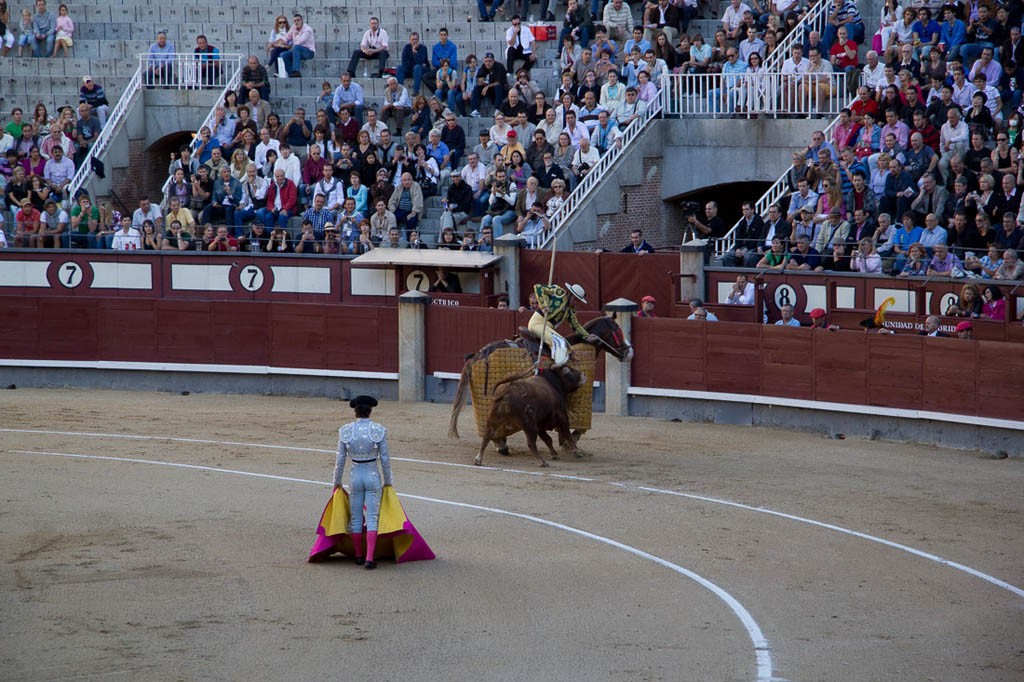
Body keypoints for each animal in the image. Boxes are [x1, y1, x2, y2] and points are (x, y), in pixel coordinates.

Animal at [448, 315, 630, 456]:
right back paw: (502, 446)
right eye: (619, 331)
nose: (628, 352)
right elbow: (572, 426)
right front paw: (568, 441)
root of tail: (477, 355)